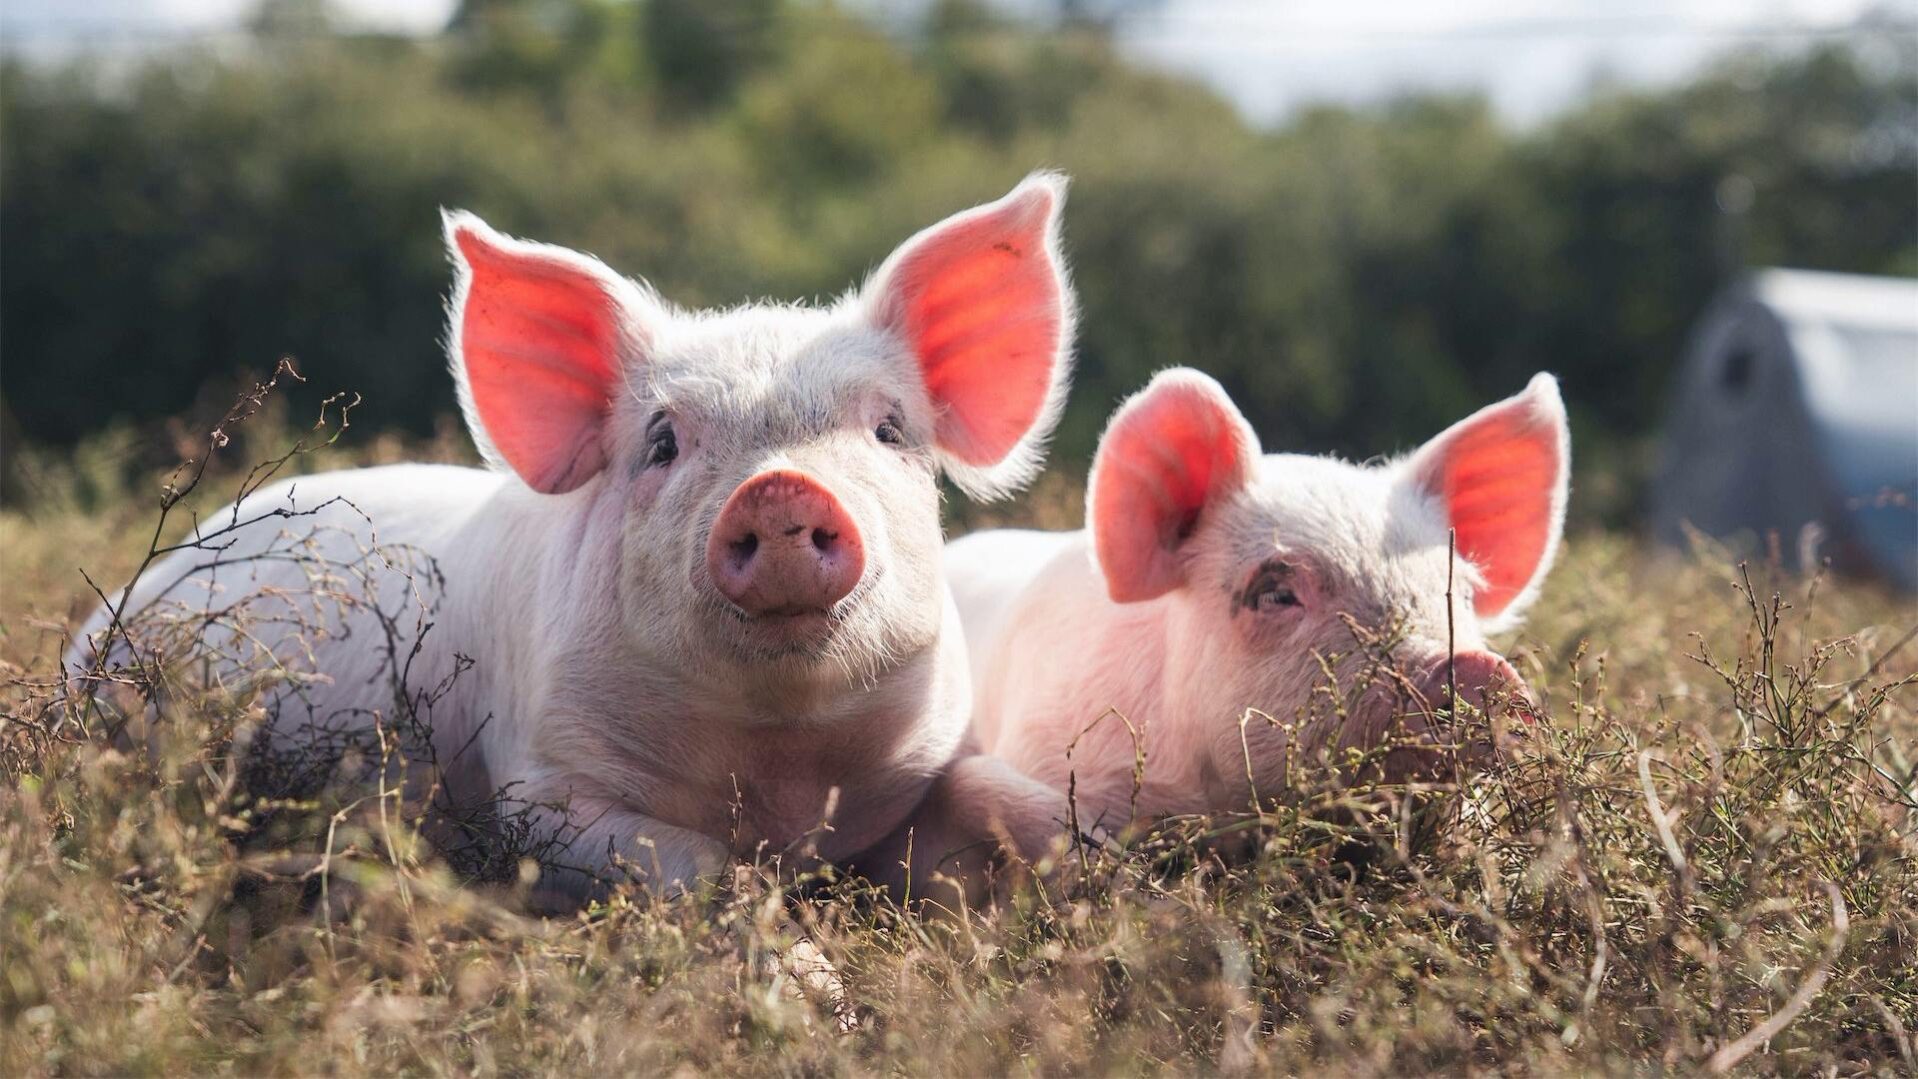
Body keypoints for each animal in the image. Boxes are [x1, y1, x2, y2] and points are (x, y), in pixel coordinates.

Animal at [70, 175, 1081, 904]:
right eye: (663, 440)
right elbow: (694, 864)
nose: (778, 486)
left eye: (889, 429)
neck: (776, 764)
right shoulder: (541, 778)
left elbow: (1001, 798)